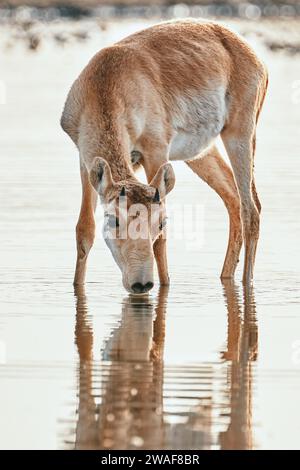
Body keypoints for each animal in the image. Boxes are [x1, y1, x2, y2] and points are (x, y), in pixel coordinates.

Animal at [61, 21, 268, 294]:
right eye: (114, 220)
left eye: (160, 223)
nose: (141, 283)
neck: (106, 83)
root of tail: (253, 56)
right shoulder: (85, 162)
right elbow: (84, 230)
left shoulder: (156, 151)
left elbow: (161, 242)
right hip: (201, 153)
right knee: (232, 198)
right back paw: (225, 277)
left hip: (240, 135)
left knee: (250, 209)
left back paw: (247, 285)